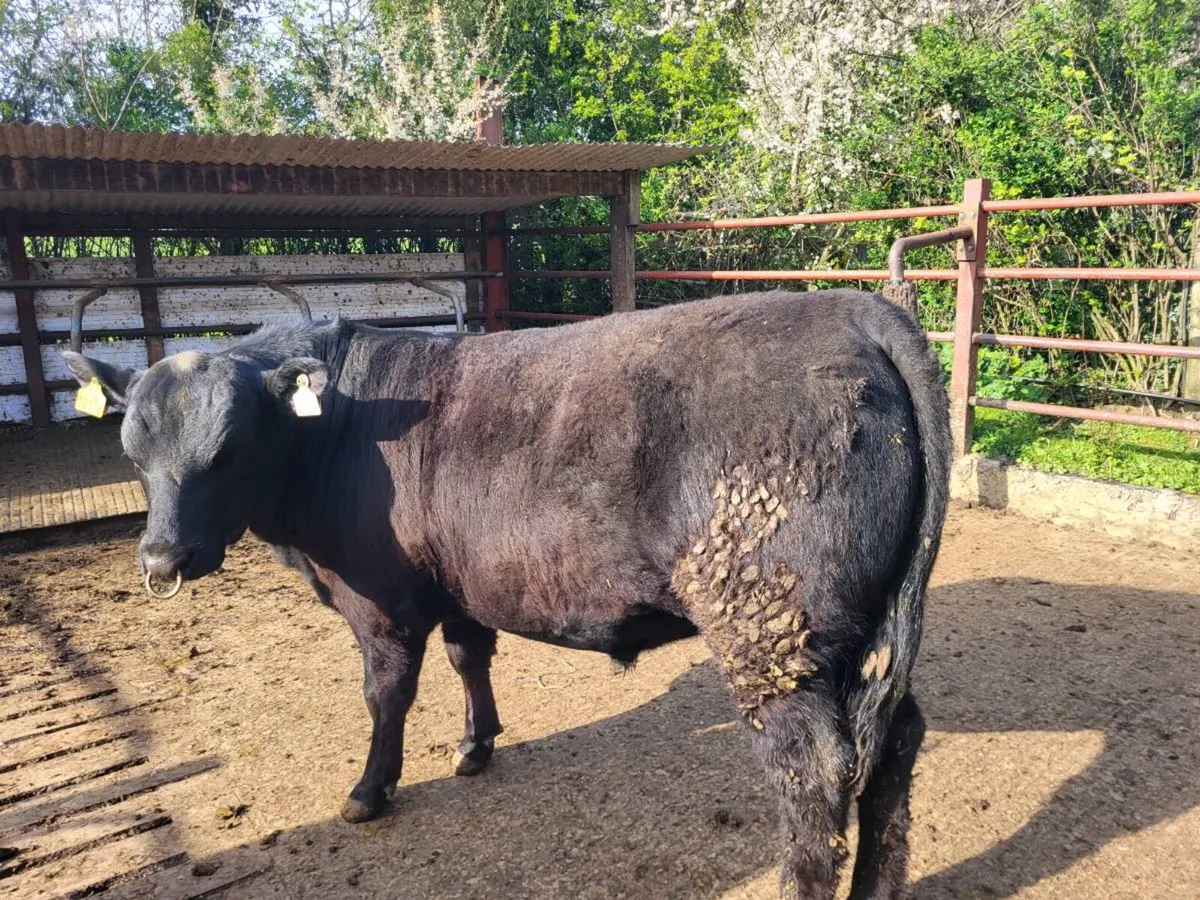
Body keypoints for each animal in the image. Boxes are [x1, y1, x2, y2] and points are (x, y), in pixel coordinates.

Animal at [63, 289, 949, 899]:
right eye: (133, 450)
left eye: (230, 449)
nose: (161, 559)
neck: (337, 427)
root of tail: (850, 307)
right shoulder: (456, 583)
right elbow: (469, 656)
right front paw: (475, 743)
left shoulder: (376, 600)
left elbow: (387, 693)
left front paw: (370, 790)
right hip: (865, 637)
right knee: (893, 745)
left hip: (771, 626)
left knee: (816, 768)